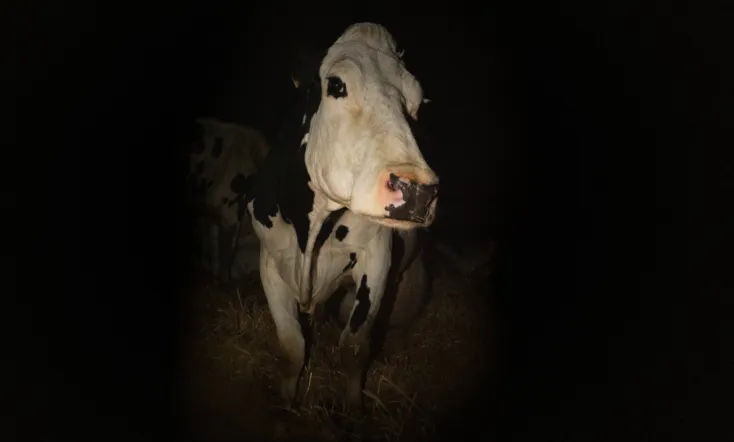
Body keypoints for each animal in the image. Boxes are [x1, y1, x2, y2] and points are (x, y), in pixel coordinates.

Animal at [246, 23, 439, 410]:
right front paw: (287, 403)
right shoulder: (269, 260)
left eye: (416, 103)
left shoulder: (376, 258)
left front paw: (352, 409)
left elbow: (354, 347)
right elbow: (292, 345)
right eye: (336, 85)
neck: (311, 229)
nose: (417, 191)